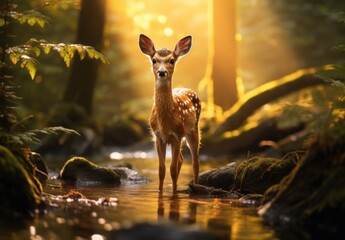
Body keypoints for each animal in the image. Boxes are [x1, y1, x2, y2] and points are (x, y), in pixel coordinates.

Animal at [138, 34, 200, 194]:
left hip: (193, 130)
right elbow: (161, 170)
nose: (162, 72)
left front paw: (173, 194)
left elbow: (172, 169)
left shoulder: (177, 135)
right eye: (154, 60)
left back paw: (196, 187)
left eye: (172, 60)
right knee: (182, 160)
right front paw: (160, 192)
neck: (166, 123)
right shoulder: (158, 137)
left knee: (195, 162)